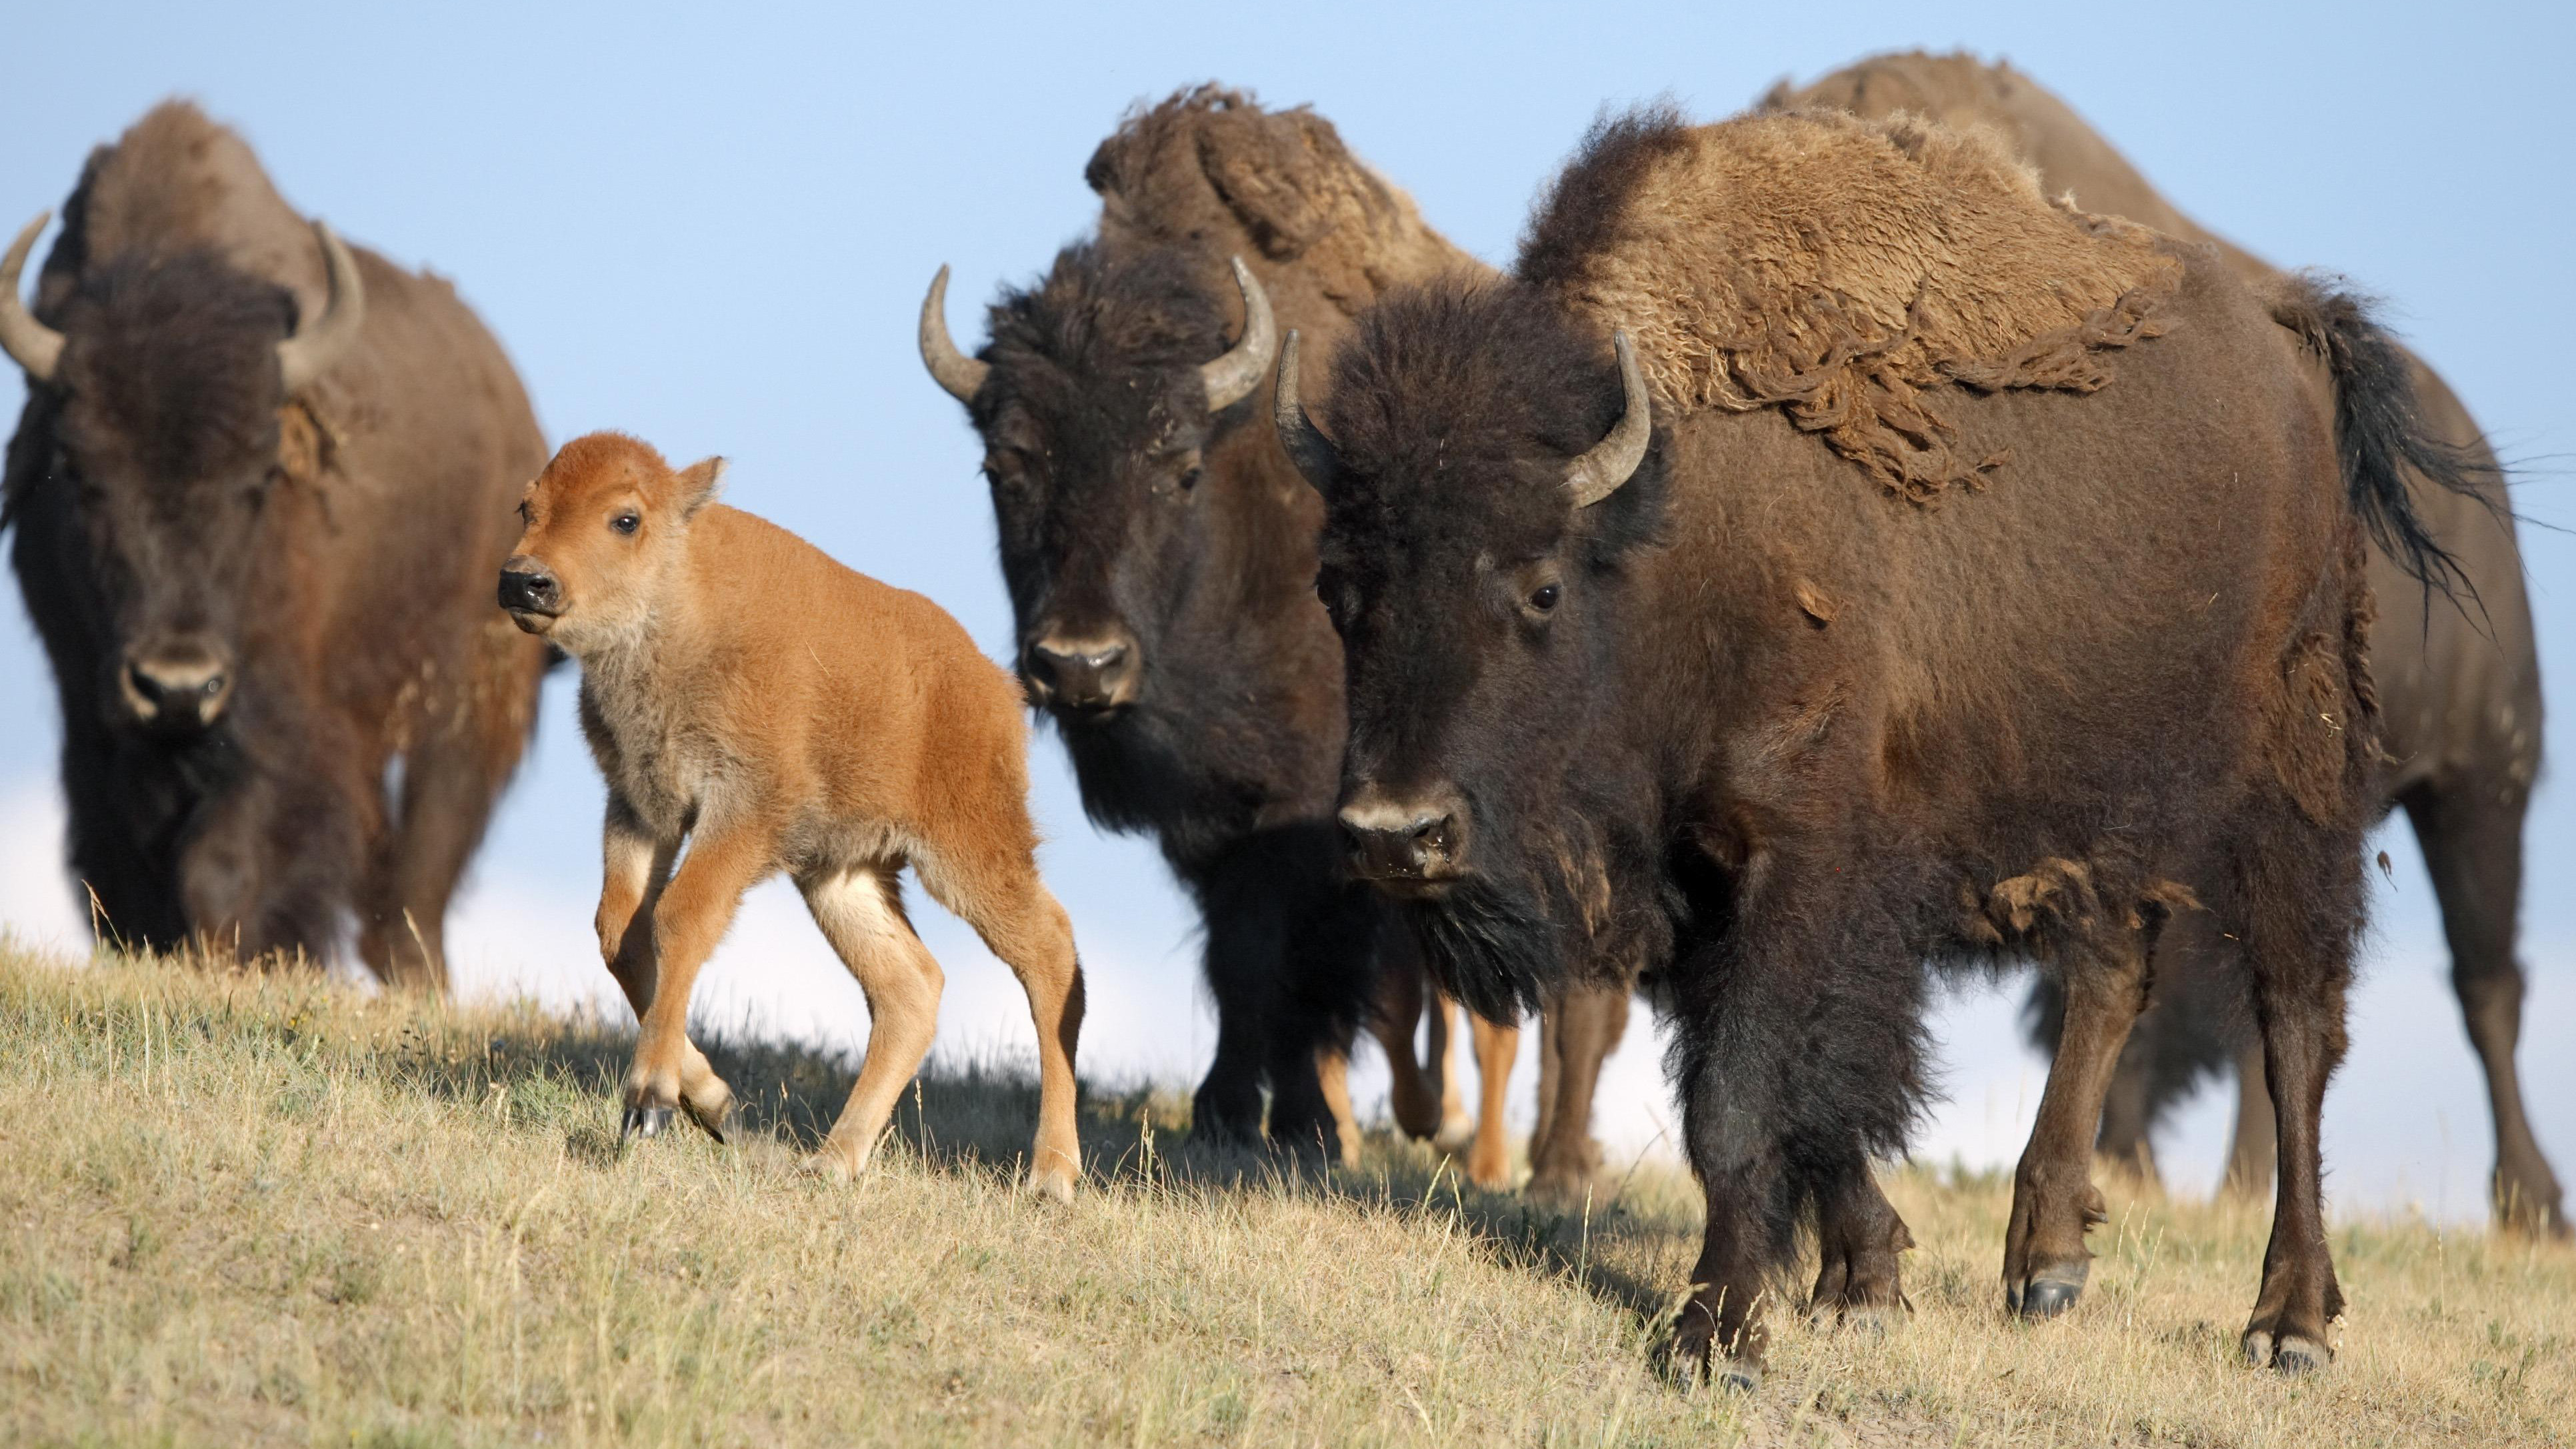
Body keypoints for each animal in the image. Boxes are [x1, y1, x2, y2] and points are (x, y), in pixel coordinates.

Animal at [3, 98, 549, 980]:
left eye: (260, 477)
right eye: (81, 473)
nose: (177, 684)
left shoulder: (282, 718)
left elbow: (232, 858)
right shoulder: (90, 723)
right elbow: (117, 868)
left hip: (468, 699)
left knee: (419, 879)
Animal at [497, 427, 1081, 1196]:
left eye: (625, 518)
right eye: (526, 506)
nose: (524, 580)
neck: (684, 600)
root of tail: (992, 685)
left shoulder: (741, 815)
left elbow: (679, 917)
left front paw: (649, 1103)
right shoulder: (642, 809)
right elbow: (620, 932)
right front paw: (714, 1105)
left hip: (968, 852)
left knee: (1048, 950)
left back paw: (1052, 1175)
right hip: (840, 873)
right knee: (910, 987)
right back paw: (832, 1160)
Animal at [1288, 104, 2473, 1372]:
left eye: (1539, 587)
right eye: (1337, 587)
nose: (1395, 831)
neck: (1674, 534)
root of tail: (2287, 338)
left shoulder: (1799, 853)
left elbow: (1741, 1100)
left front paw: (1717, 1334)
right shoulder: (1706, 885)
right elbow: (1790, 1092)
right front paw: (1861, 1279)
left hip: (2290, 779)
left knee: (2296, 1020)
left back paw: (2287, 1320)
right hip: (2106, 789)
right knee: (2114, 969)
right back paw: (2046, 1261)